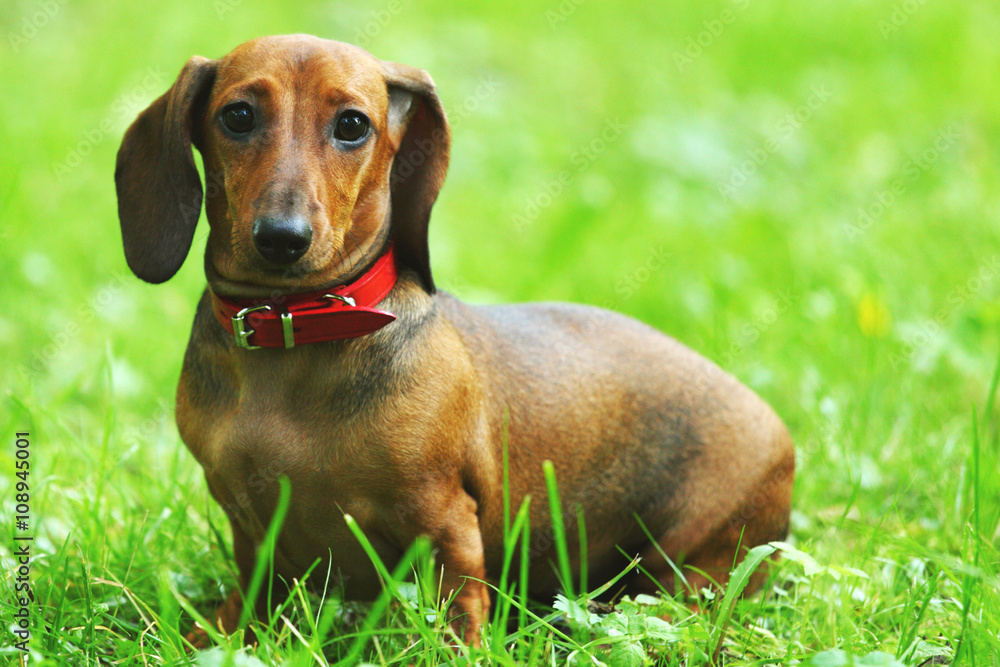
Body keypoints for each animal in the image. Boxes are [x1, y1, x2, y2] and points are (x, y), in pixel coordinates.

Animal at [113, 35, 792, 648]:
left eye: (352, 125)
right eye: (238, 116)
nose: (283, 237)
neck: (296, 327)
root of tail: (782, 434)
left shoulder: (444, 519)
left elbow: (457, 606)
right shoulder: (249, 528)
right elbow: (251, 602)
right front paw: (213, 637)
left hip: (692, 555)